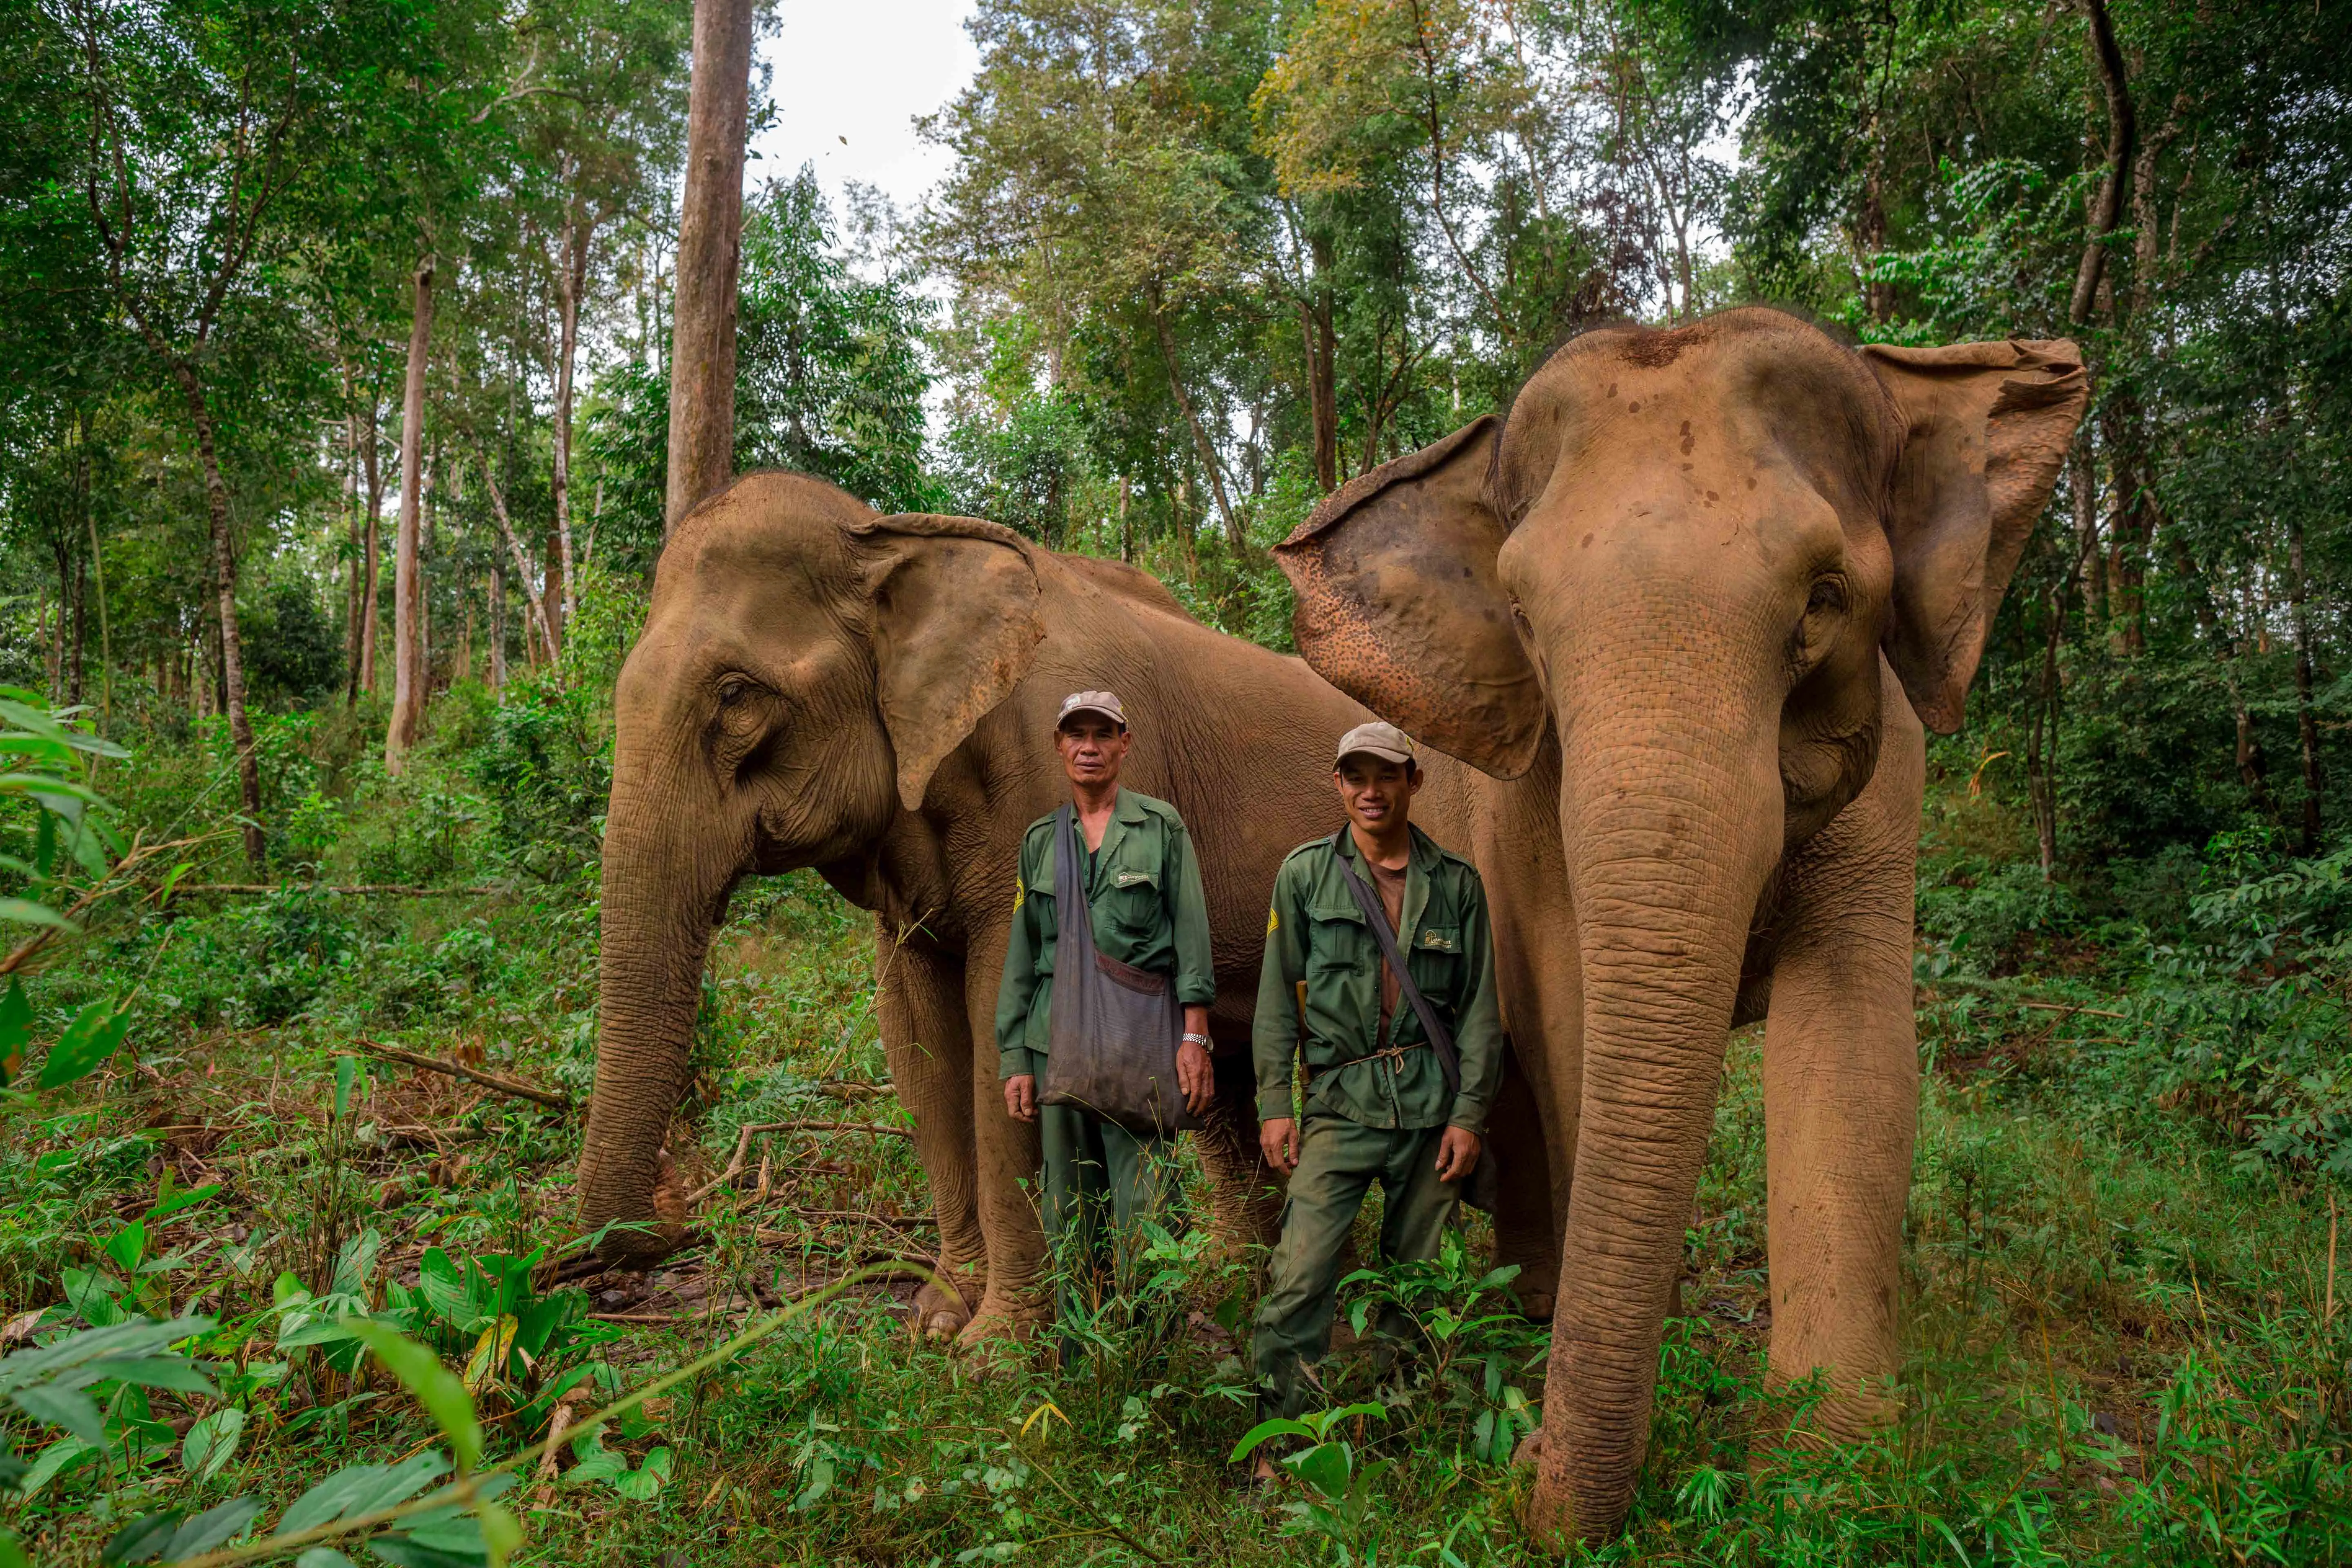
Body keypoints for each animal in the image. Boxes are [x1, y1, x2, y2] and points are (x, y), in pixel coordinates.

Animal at [575, 469, 1519, 1342]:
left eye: (736, 696)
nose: (668, 1201)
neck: (892, 537)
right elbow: (918, 1045)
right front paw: (938, 1319)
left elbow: (1006, 1030)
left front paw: (999, 1355)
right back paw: (1232, 1285)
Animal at [1273, 308, 2088, 1541]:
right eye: (1524, 617)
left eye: (1822, 598)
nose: (1523, 1464)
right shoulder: (1522, 805)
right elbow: (1567, 1024)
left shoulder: (1892, 773)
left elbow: (1852, 1048)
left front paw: (1825, 1465)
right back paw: (1530, 1309)